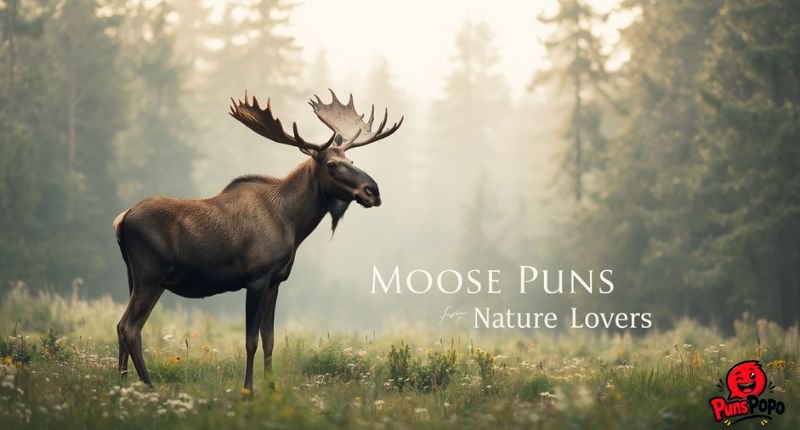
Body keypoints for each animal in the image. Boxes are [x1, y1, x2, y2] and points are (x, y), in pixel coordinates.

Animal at [113, 90, 402, 392]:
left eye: (352, 162)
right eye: (332, 165)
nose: (373, 191)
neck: (292, 223)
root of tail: (121, 220)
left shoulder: (276, 280)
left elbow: (269, 339)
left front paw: (271, 388)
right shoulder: (257, 278)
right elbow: (251, 340)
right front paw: (248, 390)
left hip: (138, 277)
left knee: (124, 327)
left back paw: (122, 384)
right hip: (150, 275)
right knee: (129, 327)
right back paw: (147, 385)